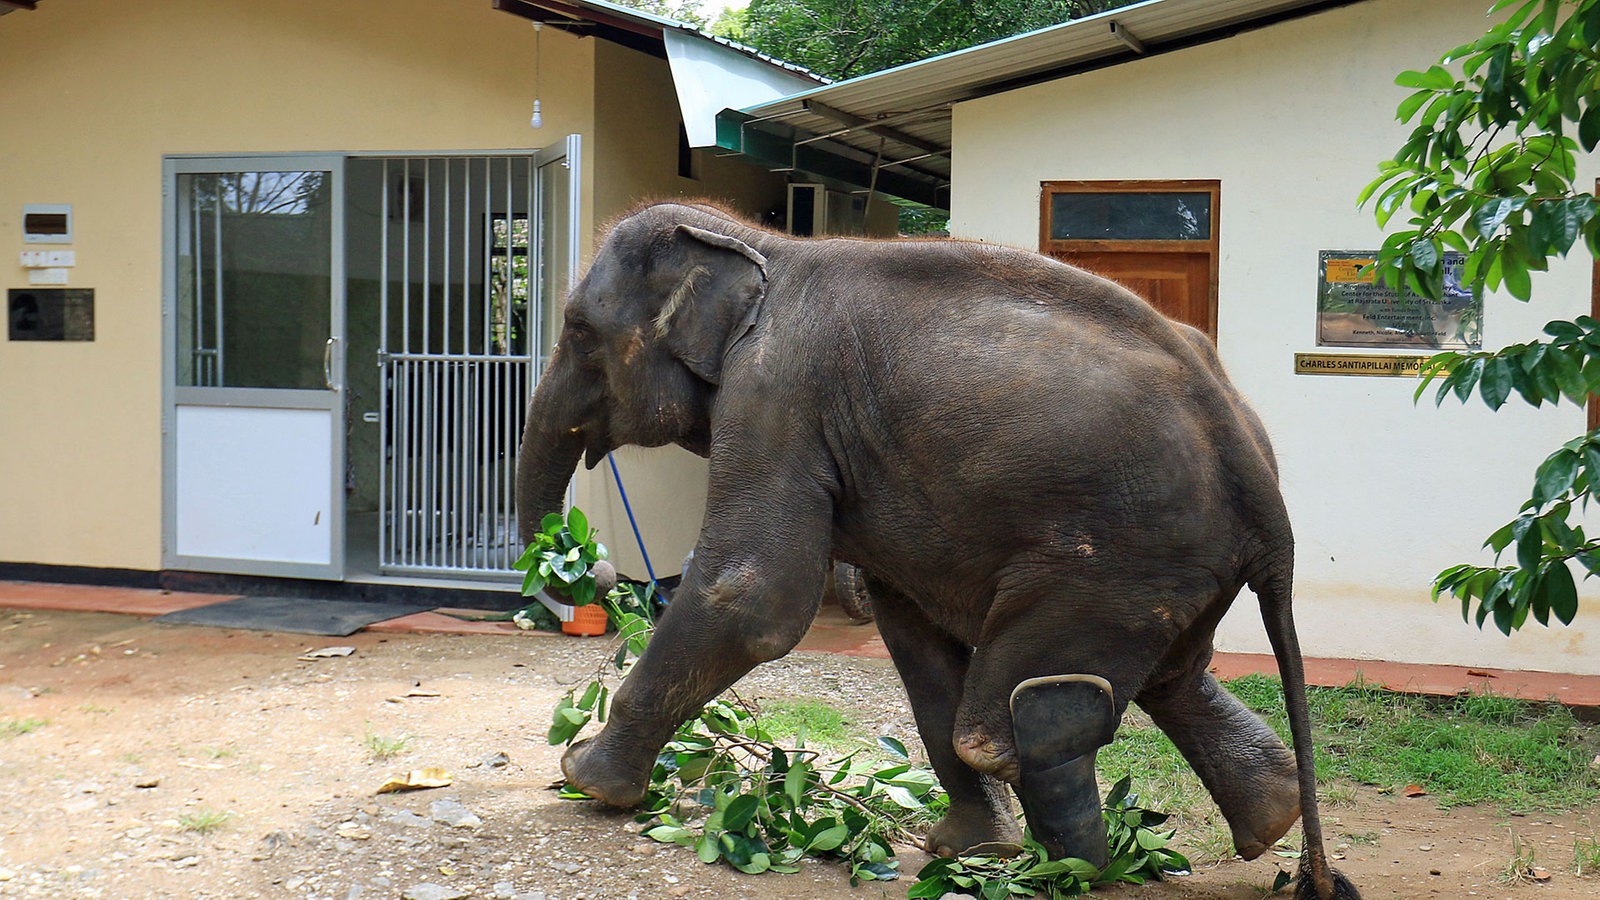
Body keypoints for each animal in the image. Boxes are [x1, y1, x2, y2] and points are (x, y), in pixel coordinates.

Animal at [518, 203, 1356, 896]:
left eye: (579, 331)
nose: (591, 566)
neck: (759, 244)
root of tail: (1259, 475)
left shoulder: (776, 395)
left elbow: (752, 595)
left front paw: (584, 778)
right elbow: (912, 633)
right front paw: (962, 848)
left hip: (1116, 557)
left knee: (1014, 717)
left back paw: (1066, 871)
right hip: (1171, 571)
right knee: (1171, 677)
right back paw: (1267, 820)